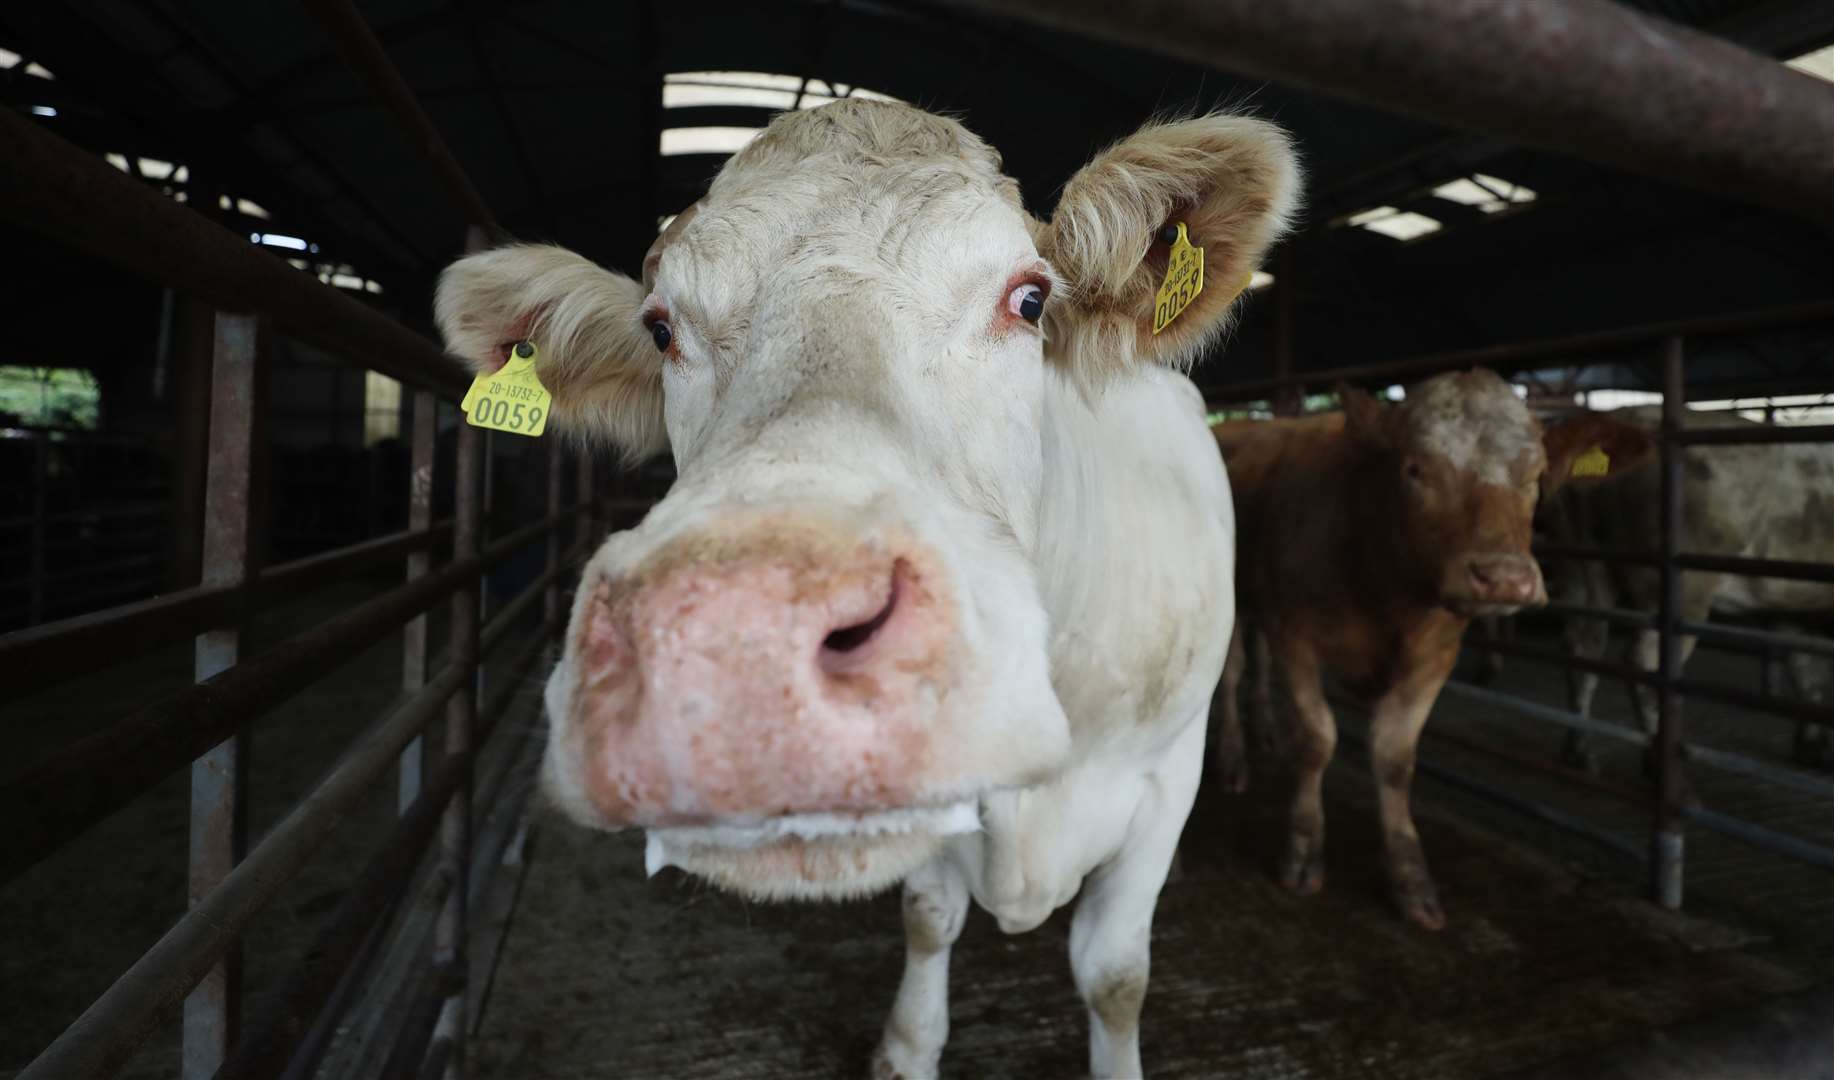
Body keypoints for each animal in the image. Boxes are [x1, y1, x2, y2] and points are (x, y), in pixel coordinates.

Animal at [434, 96, 1298, 1070]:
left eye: (1029, 298)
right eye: (660, 328)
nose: (738, 639)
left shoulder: (1161, 781)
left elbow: (1114, 978)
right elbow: (929, 916)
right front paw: (907, 1048)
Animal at [1533, 403, 1834, 766]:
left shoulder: (1791, 603)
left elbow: (1805, 669)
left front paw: (1812, 745)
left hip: (1581, 568)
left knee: (1582, 648)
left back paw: (1580, 751)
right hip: (1679, 589)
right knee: (1644, 659)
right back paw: (1661, 761)